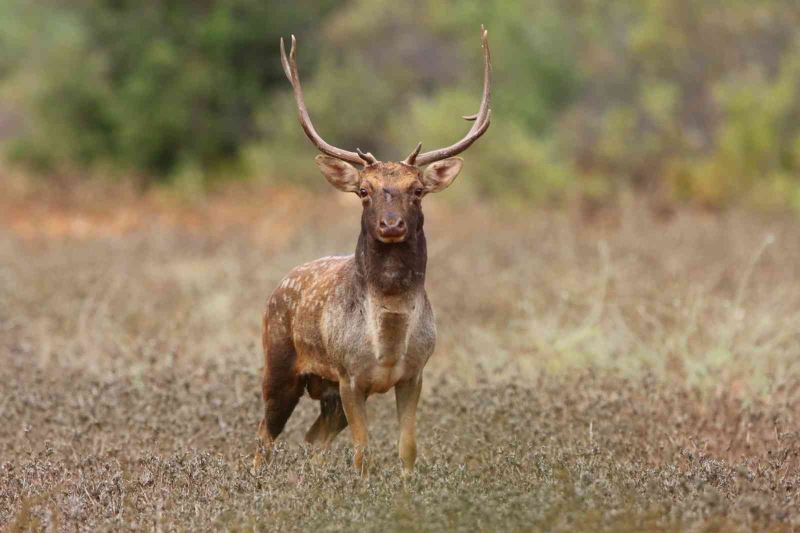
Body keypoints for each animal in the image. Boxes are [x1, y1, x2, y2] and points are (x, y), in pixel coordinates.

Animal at [256, 26, 490, 474]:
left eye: (417, 190)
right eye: (364, 191)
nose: (392, 225)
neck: (388, 337)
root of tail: (280, 284)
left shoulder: (415, 374)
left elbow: (407, 448)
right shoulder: (350, 376)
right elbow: (363, 454)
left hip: (326, 393)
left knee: (314, 439)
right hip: (279, 365)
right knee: (264, 437)